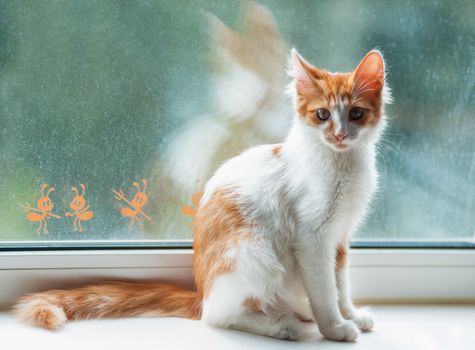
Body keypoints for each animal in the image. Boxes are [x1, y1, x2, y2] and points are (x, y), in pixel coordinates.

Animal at [13, 48, 390, 342]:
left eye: (356, 113)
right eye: (322, 114)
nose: (339, 134)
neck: (342, 165)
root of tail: (202, 292)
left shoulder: (339, 238)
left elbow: (340, 285)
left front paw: (350, 316)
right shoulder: (312, 239)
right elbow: (324, 290)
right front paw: (335, 329)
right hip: (254, 253)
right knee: (219, 315)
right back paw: (282, 325)